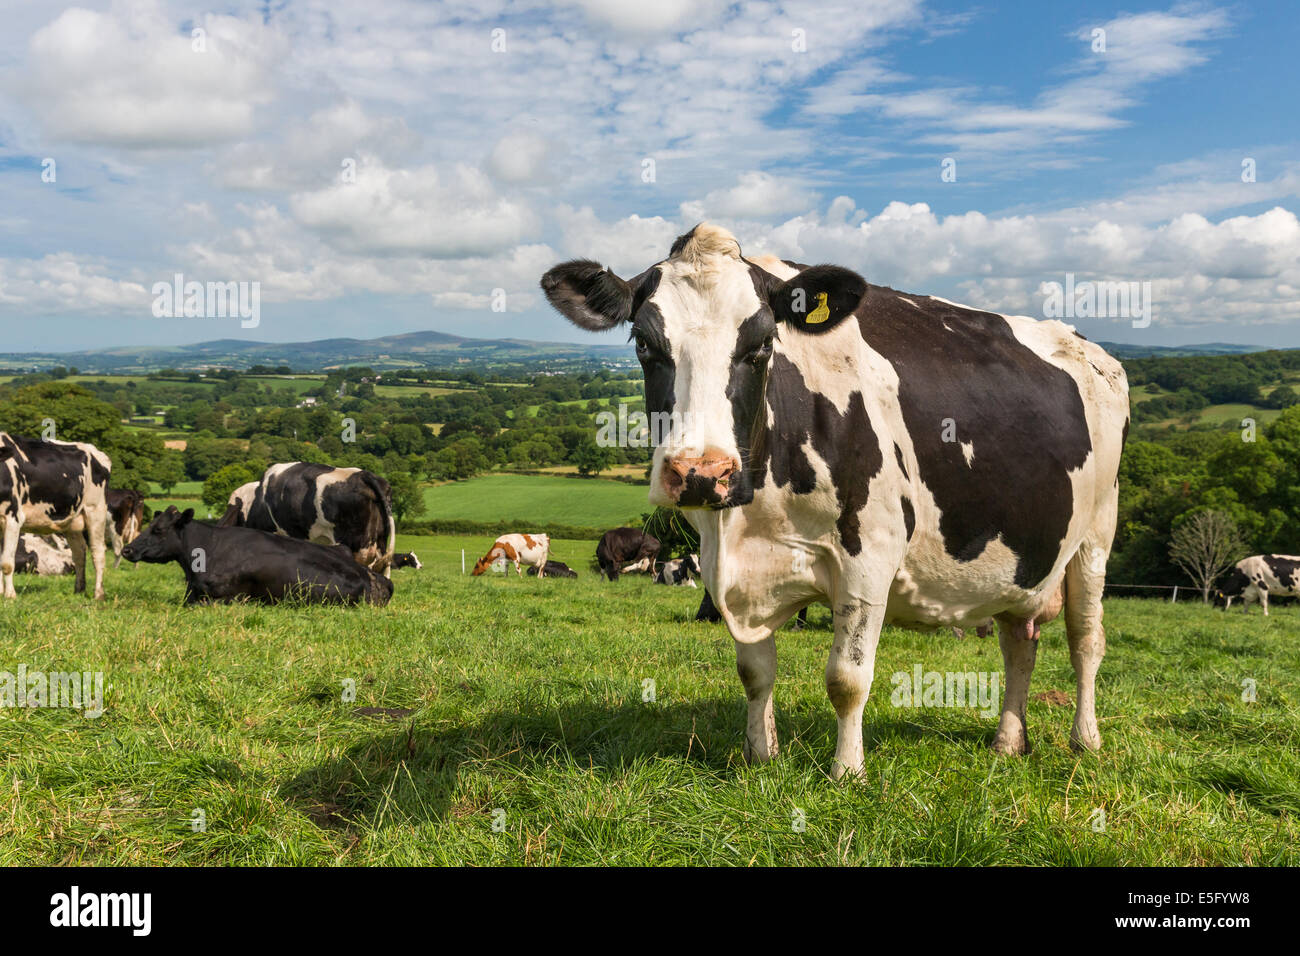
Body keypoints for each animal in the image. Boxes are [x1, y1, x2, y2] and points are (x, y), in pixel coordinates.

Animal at [0, 433, 112, 600]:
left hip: (96, 511)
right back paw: (79, 589)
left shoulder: (13, 518)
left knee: (97, 552)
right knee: (79, 553)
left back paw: (98, 594)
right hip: (72, 521)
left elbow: (7, 563)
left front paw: (10, 595)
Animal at [541, 222, 1128, 777]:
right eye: (643, 343)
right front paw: (761, 756)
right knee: (1019, 642)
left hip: (1096, 535)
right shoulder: (725, 562)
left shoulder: (871, 553)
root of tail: (1089, 346)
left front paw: (848, 771)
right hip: (1021, 557)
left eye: (762, 344)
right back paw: (1008, 742)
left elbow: (848, 678)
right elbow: (754, 672)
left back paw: (1085, 740)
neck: (751, 521)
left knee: (1086, 639)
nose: (702, 474)